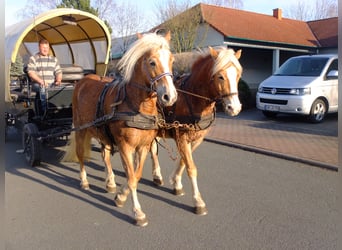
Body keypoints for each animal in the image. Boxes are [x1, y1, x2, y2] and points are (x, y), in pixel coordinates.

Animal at [62, 31, 178, 227]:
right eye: (152, 62)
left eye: (172, 60)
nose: (169, 96)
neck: (136, 106)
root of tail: (83, 79)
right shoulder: (125, 147)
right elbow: (131, 177)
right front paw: (137, 212)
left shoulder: (143, 147)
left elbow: (136, 175)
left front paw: (121, 195)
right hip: (80, 128)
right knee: (80, 155)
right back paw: (84, 180)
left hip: (102, 131)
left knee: (105, 155)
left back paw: (110, 181)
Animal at [150, 46, 243, 215]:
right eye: (220, 76)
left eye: (238, 75)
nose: (234, 108)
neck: (193, 98)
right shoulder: (181, 137)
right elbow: (191, 168)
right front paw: (198, 201)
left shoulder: (196, 139)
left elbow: (183, 161)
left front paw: (176, 183)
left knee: (153, 149)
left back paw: (157, 176)